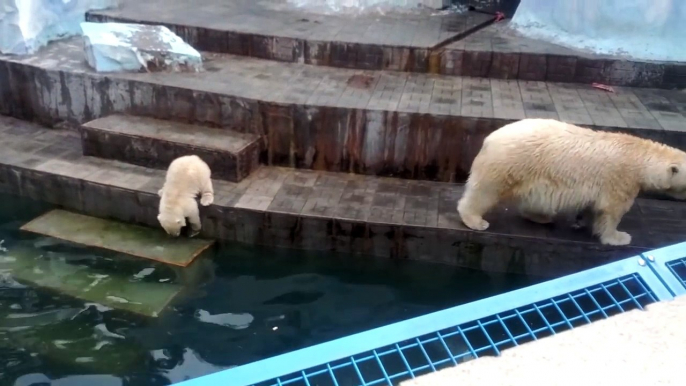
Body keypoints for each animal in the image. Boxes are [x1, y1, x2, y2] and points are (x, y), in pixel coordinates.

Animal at [460, 118, 686, 244]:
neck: (640, 157)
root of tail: (490, 138)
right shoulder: (622, 180)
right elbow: (611, 212)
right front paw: (619, 237)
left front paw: (580, 219)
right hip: (510, 163)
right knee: (485, 191)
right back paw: (476, 220)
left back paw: (542, 217)